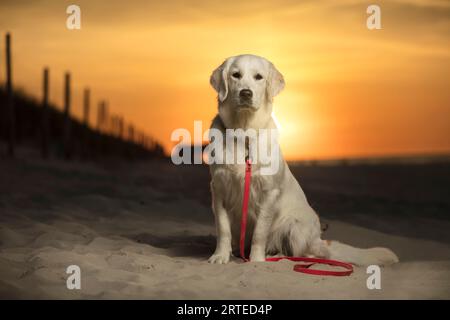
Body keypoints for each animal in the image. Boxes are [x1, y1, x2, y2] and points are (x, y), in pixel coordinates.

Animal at [207, 53, 398, 266]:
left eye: (258, 77)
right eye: (235, 75)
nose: (246, 93)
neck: (244, 135)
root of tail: (318, 238)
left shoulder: (269, 193)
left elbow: (259, 233)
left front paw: (256, 260)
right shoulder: (219, 188)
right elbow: (223, 229)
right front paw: (220, 255)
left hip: (296, 226)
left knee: (309, 253)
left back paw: (280, 255)